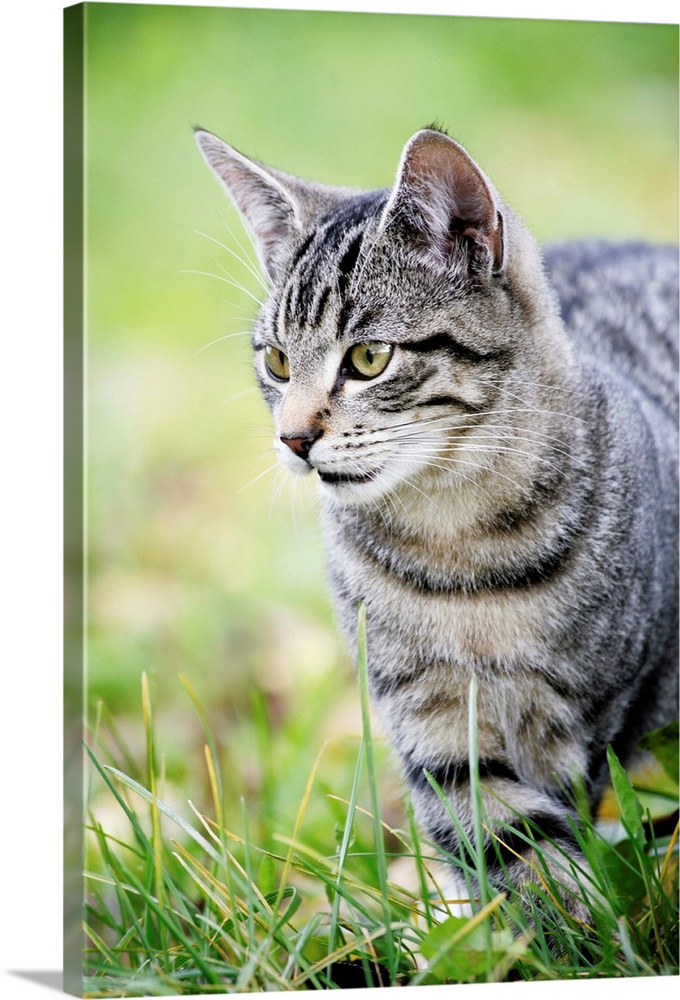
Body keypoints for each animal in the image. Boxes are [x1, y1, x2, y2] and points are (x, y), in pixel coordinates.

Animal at [194, 125, 676, 920]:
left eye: (368, 358)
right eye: (278, 362)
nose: (292, 438)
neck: (458, 547)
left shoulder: (619, 717)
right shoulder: (431, 719)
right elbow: (506, 840)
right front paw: (547, 924)